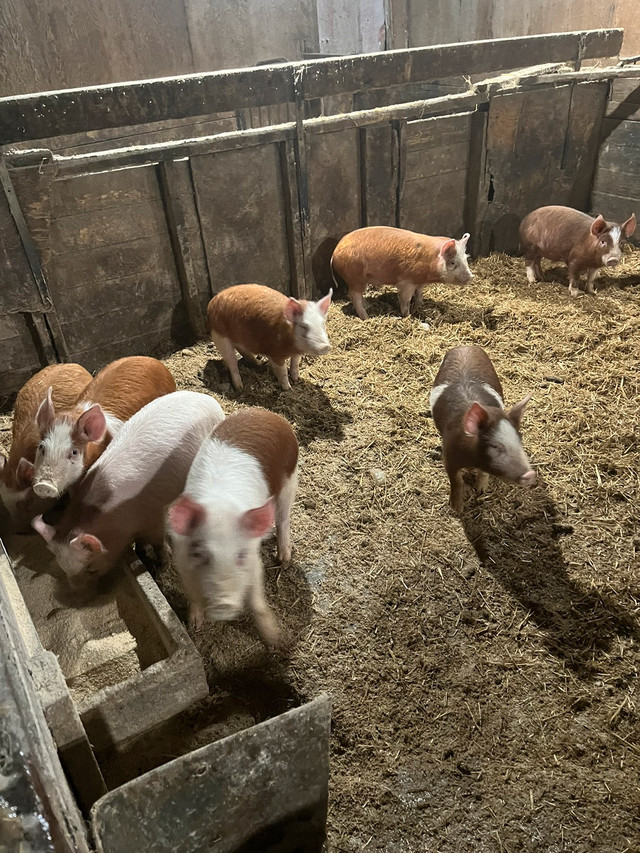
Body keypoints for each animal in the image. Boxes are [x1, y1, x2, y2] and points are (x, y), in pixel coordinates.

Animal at [31, 390, 225, 587]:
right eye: (63, 568)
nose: (77, 590)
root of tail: (208, 399)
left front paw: (162, 563)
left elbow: (158, 541)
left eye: (91, 568)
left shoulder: (154, 514)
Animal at [167, 407, 299, 647]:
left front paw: (275, 638)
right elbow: (192, 594)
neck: (221, 508)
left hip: (290, 479)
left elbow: (257, 600)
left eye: (241, 556)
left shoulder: (254, 560)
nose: (224, 605)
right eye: (200, 554)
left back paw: (283, 558)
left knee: (283, 518)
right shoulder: (182, 559)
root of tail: (267, 413)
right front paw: (195, 625)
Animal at [330, 225, 473, 320]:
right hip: (355, 277)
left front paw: (421, 304)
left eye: (466, 258)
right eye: (453, 263)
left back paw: (369, 305)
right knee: (354, 297)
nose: (471, 276)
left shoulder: (420, 281)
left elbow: (419, 292)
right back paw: (366, 317)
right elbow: (405, 299)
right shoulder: (406, 282)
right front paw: (407, 315)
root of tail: (335, 252)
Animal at [430, 346, 536, 514]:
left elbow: (483, 474)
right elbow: (456, 481)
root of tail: (465, 346)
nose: (530, 474)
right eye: (495, 446)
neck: (474, 461)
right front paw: (457, 509)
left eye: (520, 440)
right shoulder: (449, 456)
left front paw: (481, 491)